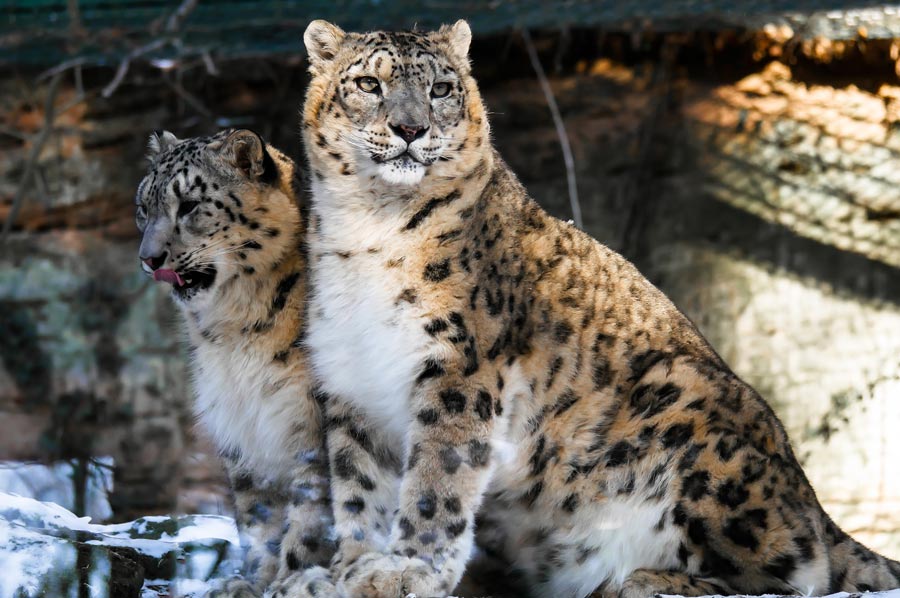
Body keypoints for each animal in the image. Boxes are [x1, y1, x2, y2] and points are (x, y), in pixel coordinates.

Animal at [135, 129, 336, 597]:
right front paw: (250, 581)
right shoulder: (239, 426)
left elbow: (313, 512)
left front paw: (294, 580)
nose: (149, 258)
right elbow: (256, 513)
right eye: (143, 207)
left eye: (189, 204)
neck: (235, 332)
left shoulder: (312, 422)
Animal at [297, 19, 900, 598]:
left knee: (793, 574)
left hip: (695, 425)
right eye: (368, 84)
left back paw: (645, 581)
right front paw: (347, 568)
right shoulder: (352, 380)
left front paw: (406, 570)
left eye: (441, 89)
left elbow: (436, 479)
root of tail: (814, 501)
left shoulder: (458, 368)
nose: (410, 129)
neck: (370, 230)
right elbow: (358, 487)